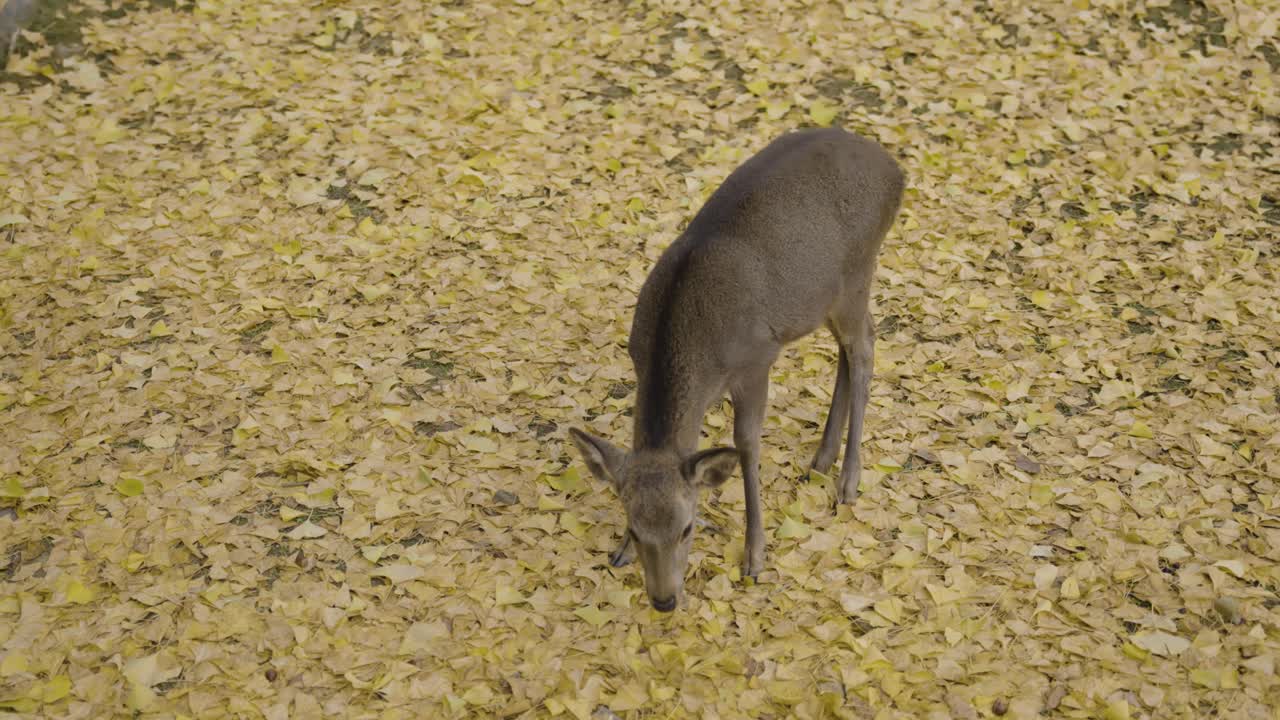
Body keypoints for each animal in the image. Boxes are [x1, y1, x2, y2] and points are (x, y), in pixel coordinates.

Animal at [569, 126, 905, 613]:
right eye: (633, 526)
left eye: (687, 528)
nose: (664, 600)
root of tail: (898, 172)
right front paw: (619, 553)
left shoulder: (756, 359)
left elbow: (746, 445)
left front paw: (755, 557)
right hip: (823, 297)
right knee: (849, 347)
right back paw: (821, 460)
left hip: (858, 272)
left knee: (863, 348)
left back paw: (847, 481)